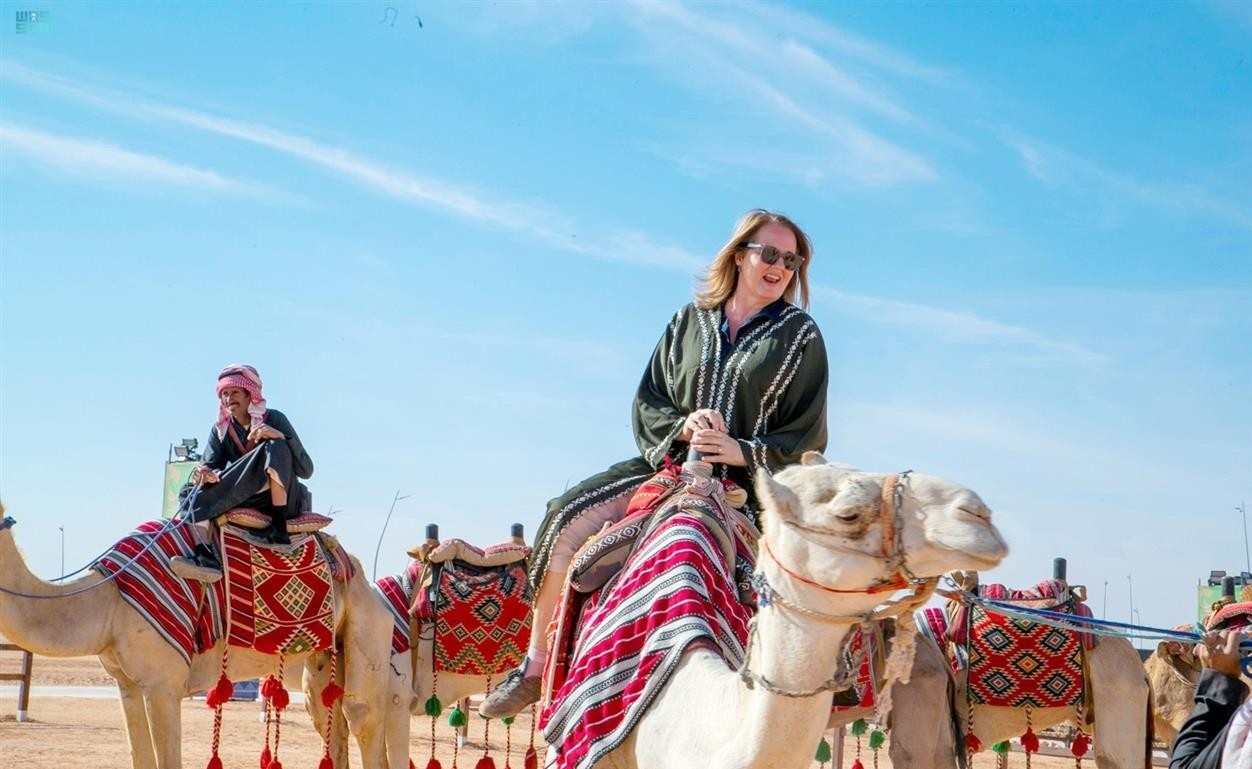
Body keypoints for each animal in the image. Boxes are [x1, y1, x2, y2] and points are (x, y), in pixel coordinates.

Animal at [0, 505, 395, 769]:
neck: (107, 600)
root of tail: (352, 565)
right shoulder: (126, 684)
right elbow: (140, 757)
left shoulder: (164, 683)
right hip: (325, 654)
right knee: (328, 715)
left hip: (369, 624)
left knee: (362, 713)